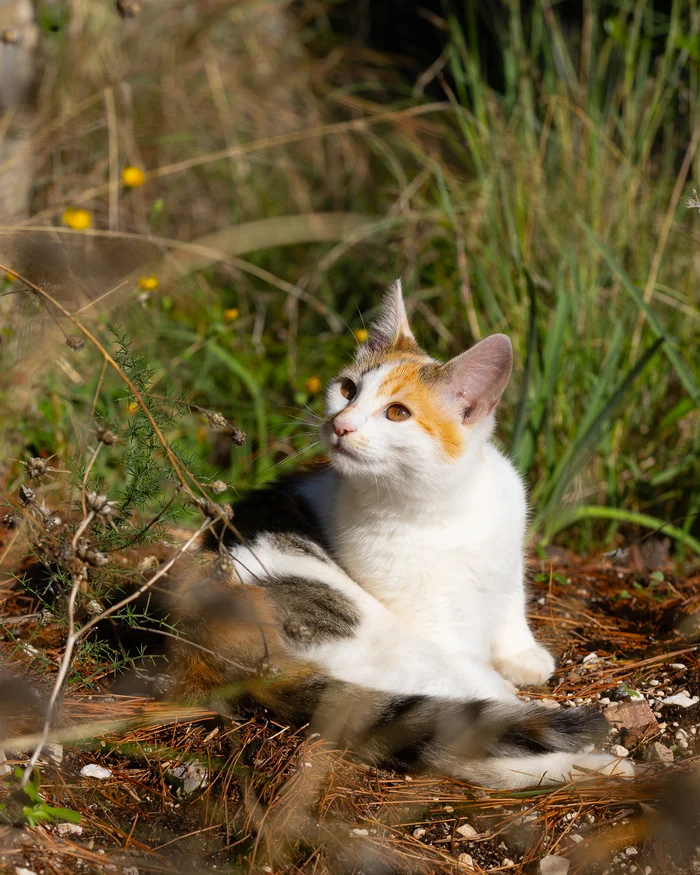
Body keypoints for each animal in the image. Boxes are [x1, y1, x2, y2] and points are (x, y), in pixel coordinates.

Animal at [171, 284, 636, 792]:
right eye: (348, 389)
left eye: (397, 412)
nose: (341, 424)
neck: (443, 507)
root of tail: (197, 645)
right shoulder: (423, 615)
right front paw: (507, 681)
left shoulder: (506, 550)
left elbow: (511, 601)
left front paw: (521, 654)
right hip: (366, 629)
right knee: (453, 729)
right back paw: (586, 758)